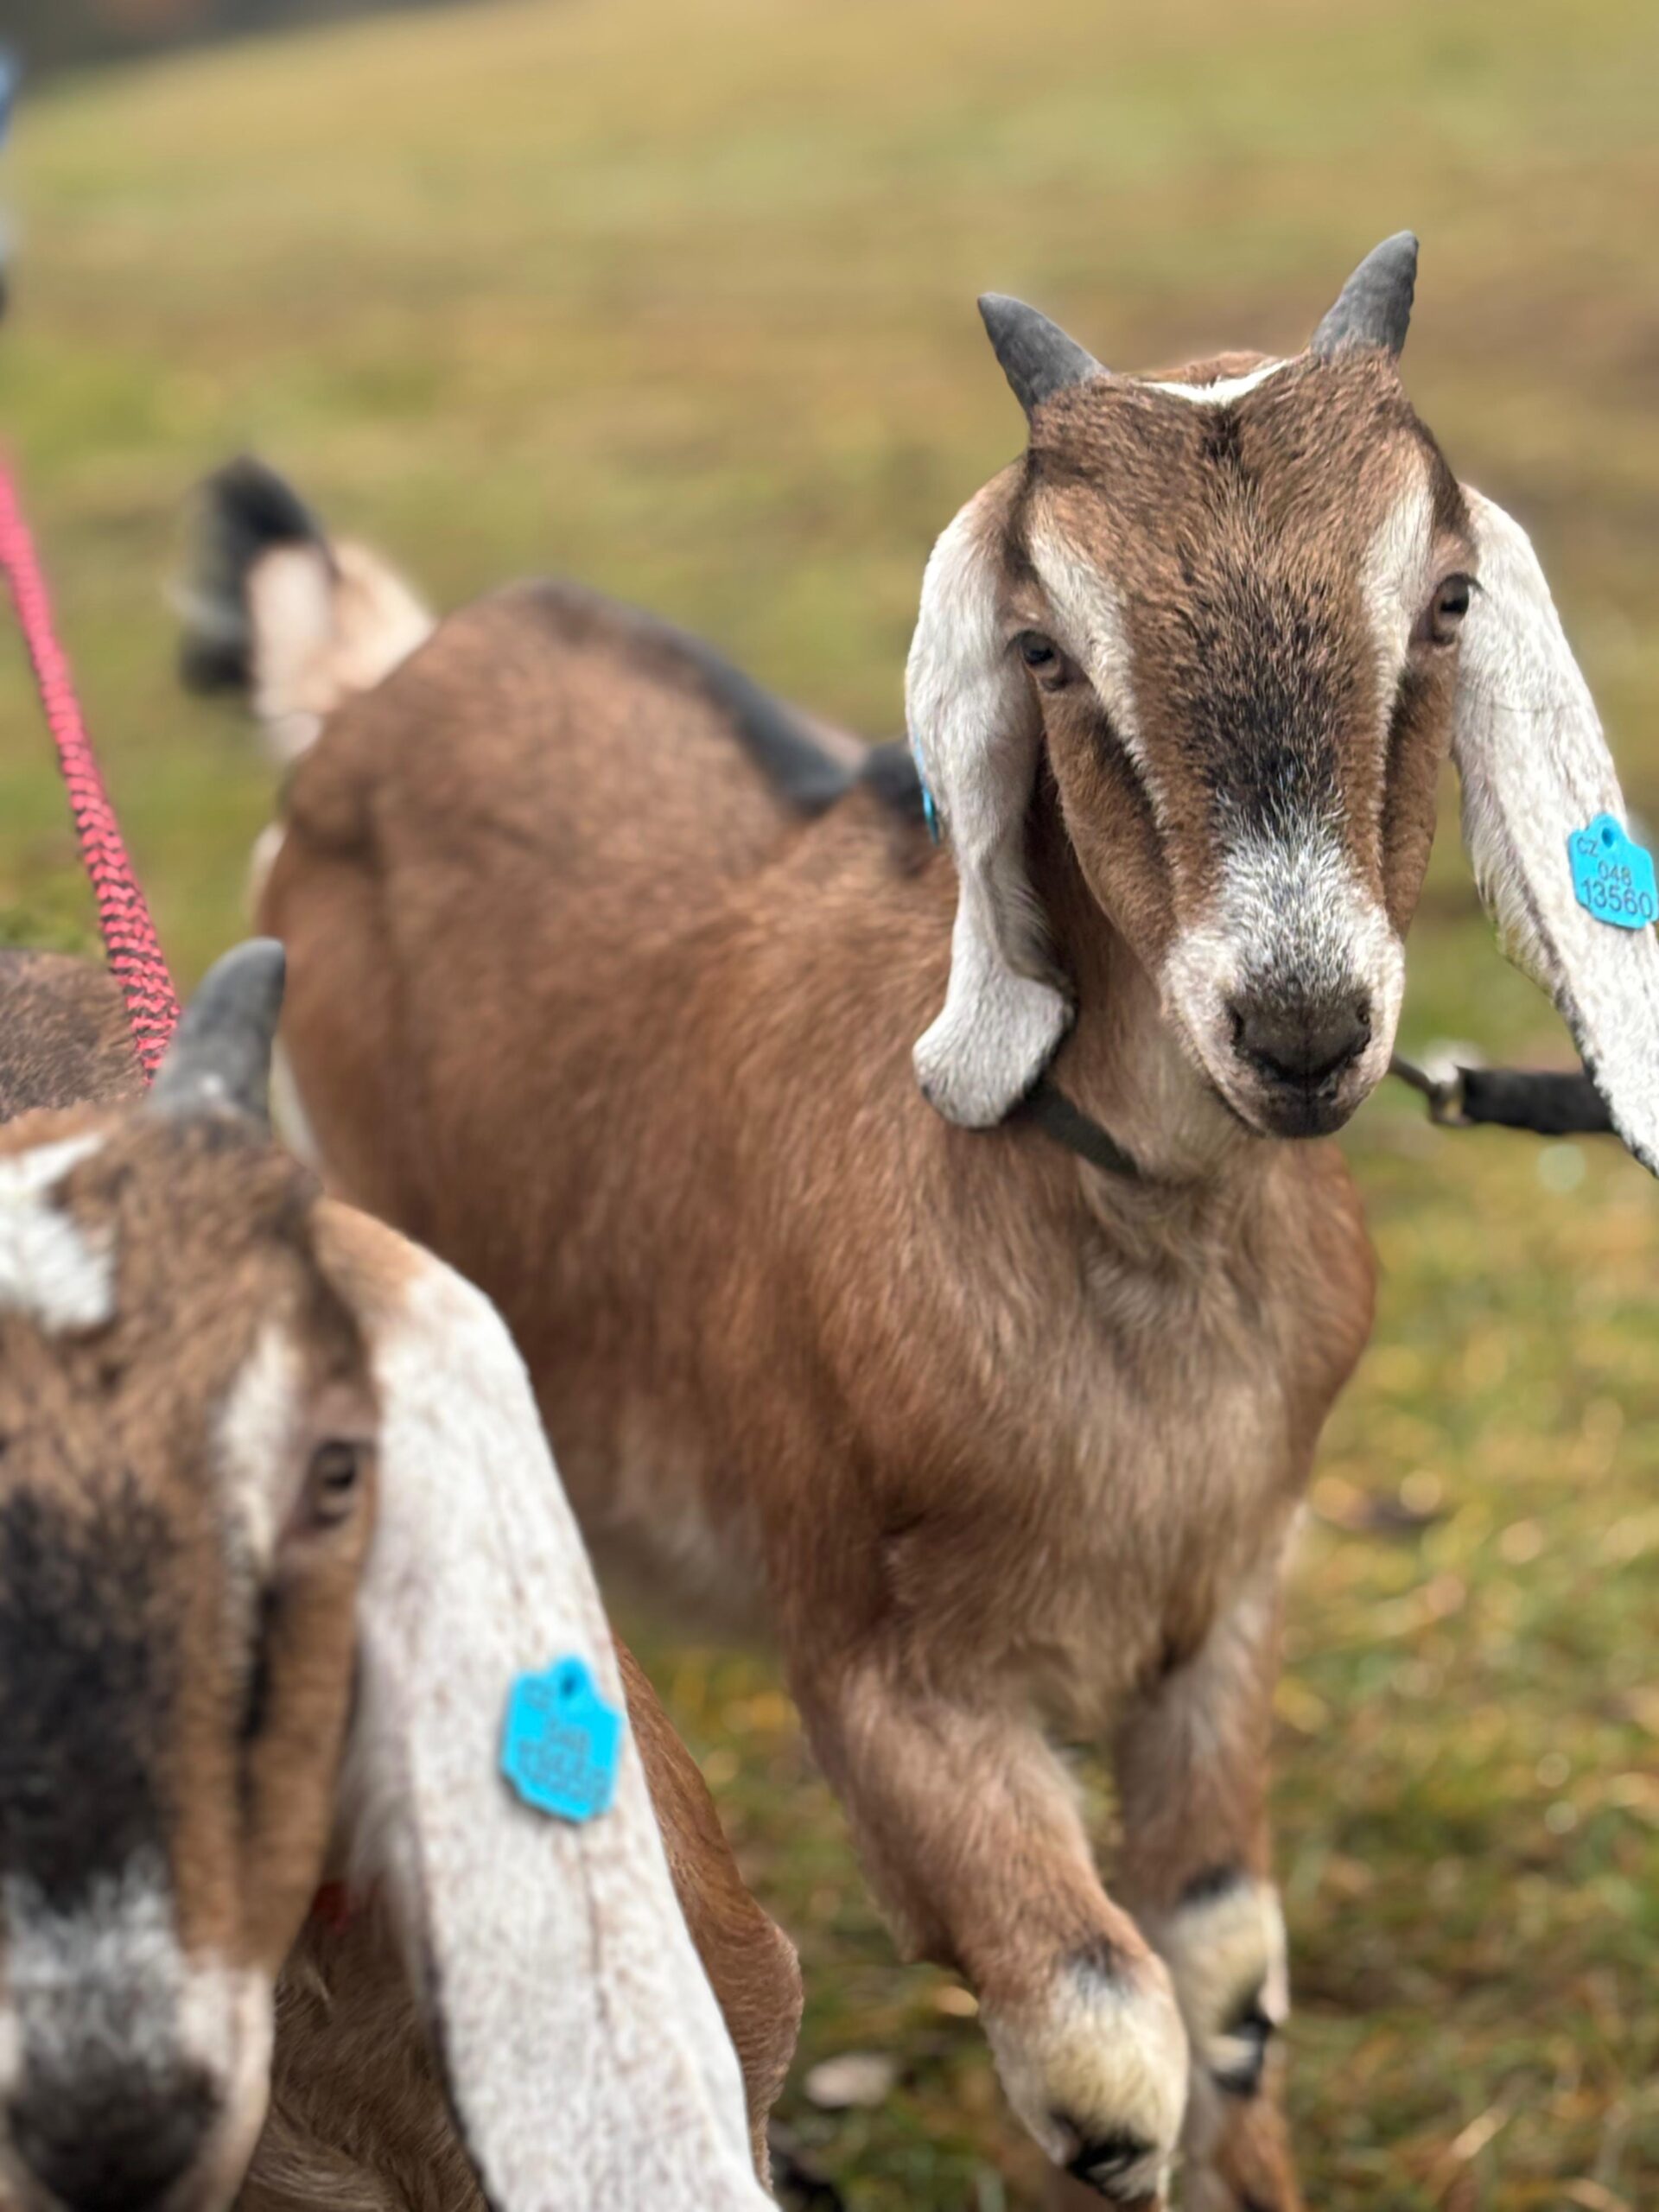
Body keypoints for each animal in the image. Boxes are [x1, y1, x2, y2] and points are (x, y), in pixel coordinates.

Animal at [186, 236, 1659, 2211]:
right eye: (1046, 646)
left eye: (1444, 597)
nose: (1299, 1025)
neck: (1132, 1247)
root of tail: (370, 687)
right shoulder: (886, 1673)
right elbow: (1111, 2057)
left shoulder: (1224, 1607)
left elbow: (1228, 1979)